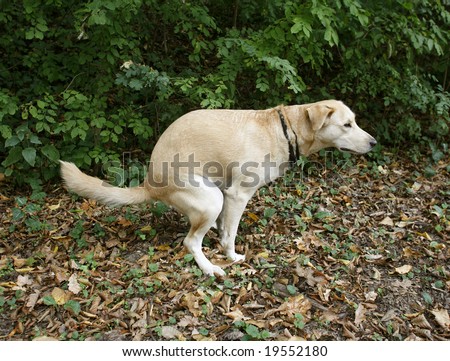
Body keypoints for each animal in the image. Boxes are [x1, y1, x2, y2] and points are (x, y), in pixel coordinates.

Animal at [59, 98, 376, 276]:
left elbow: (226, 228)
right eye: (347, 125)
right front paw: (231, 256)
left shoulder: (229, 193)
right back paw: (209, 267)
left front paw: (223, 239)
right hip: (211, 198)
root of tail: (150, 183)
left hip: (212, 194)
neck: (286, 130)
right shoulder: (236, 195)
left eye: (355, 122)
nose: (374, 142)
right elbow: (230, 235)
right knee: (190, 242)